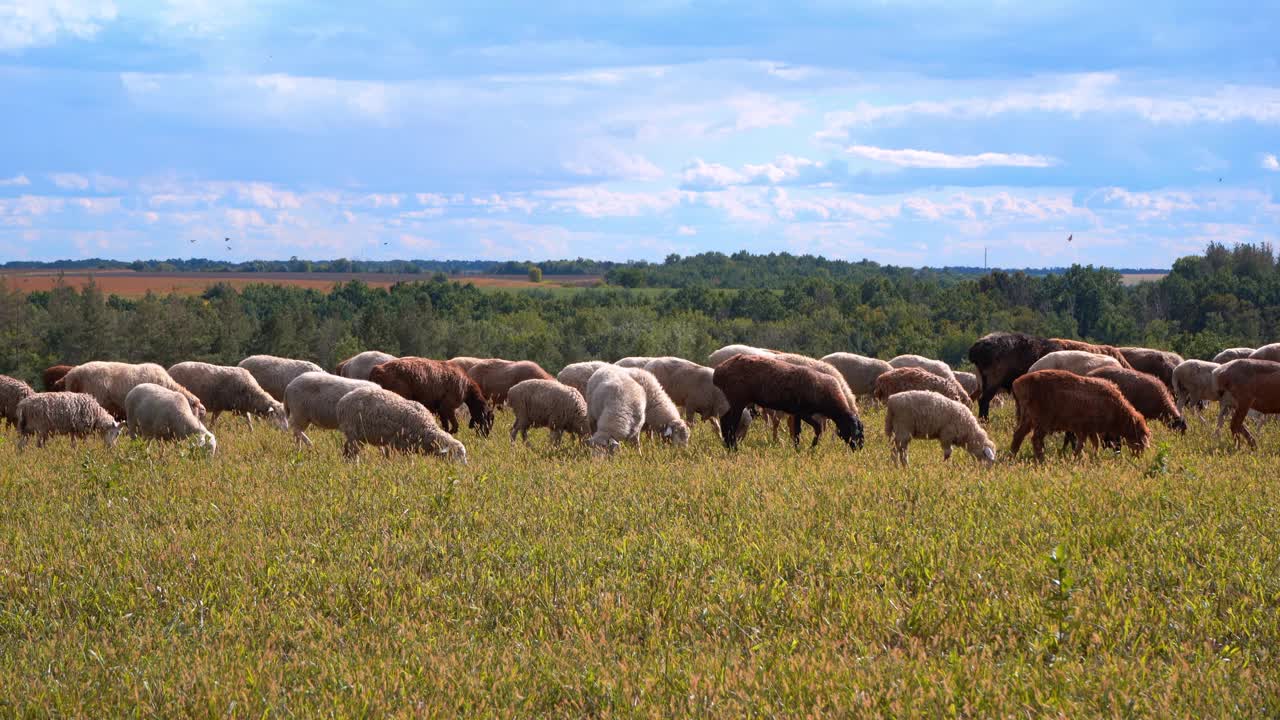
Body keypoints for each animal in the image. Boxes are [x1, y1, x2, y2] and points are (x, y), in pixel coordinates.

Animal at [335, 386, 465, 458]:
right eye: (456, 456)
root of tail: (343, 400)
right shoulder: (398, 444)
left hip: (358, 436)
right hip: (354, 433)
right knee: (351, 451)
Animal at [716, 353, 865, 448]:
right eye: (853, 431)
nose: (859, 448)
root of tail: (719, 370)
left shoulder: (797, 413)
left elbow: (798, 432)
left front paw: (797, 449)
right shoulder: (803, 412)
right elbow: (817, 428)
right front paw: (812, 448)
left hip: (735, 401)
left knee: (724, 419)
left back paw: (728, 445)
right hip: (738, 400)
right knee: (730, 423)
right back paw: (733, 447)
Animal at [1008, 366, 1152, 461]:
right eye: (1139, 440)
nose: (1138, 458)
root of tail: (1018, 383)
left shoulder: (1090, 429)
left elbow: (1095, 443)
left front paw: (1093, 456)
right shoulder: (1082, 427)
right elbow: (1082, 444)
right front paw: (1076, 457)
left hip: (1027, 418)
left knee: (1018, 435)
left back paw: (1012, 455)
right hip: (1042, 421)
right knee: (1035, 439)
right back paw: (1041, 459)